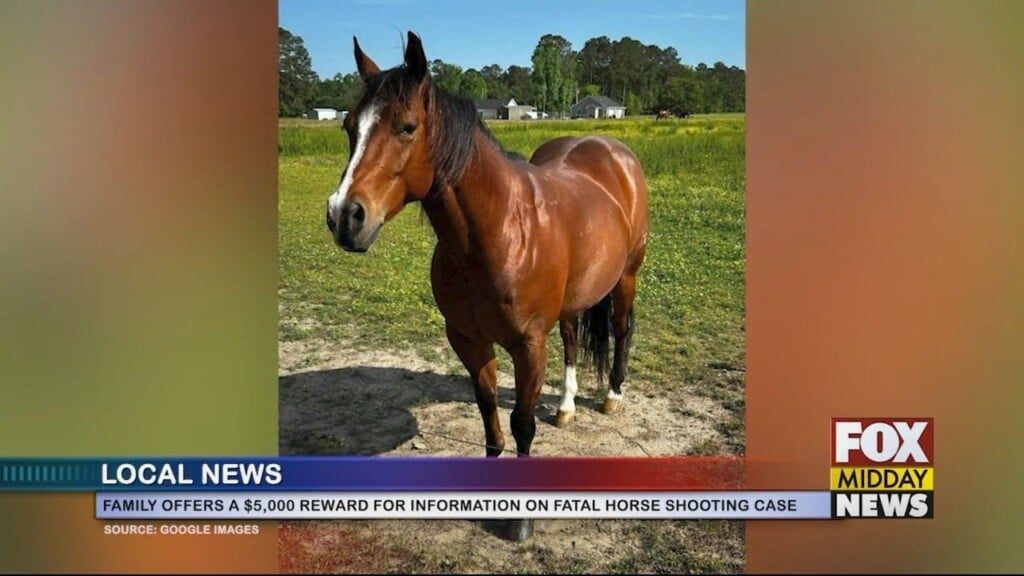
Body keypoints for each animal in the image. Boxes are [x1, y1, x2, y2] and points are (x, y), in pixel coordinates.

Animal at [325, 32, 649, 541]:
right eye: (349, 127)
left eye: (407, 127)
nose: (344, 216)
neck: (497, 232)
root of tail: (609, 147)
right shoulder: (468, 339)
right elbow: (488, 410)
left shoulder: (528, 345)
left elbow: (520, 424)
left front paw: (520, 521)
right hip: (574, 300)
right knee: (572, 340)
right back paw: (567, 406)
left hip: (626, 277)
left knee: (620, 331)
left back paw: (612, 395)